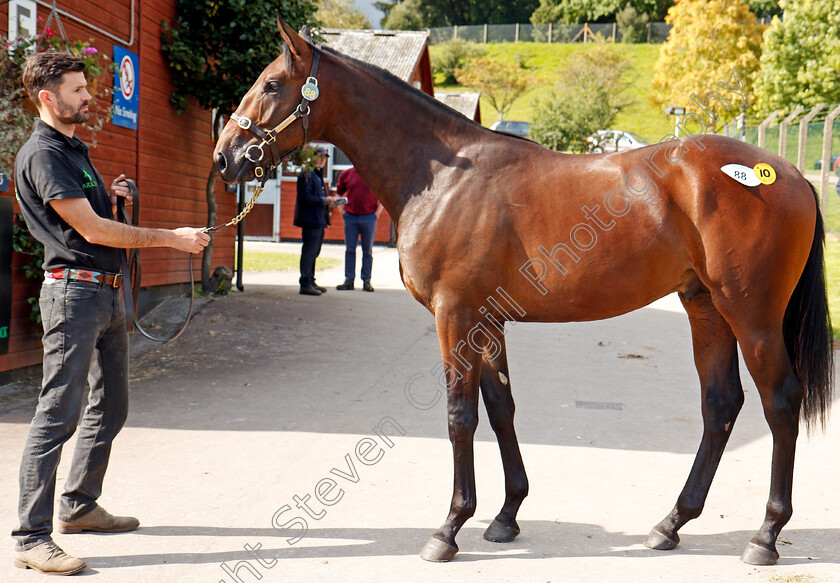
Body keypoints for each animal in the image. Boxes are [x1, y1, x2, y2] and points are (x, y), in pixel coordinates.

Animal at [212, 21, 832, 564]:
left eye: (272, 84)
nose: (225, 156)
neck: (444, 178)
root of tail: (791, 174)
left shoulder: (455, 316)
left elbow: (460, 415)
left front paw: (449, 528)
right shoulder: (487, 322)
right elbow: (501, 409)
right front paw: (505, 516)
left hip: (751, 315)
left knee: (781, 402)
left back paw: (765, 535)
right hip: (705, 308)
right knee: (720, 404)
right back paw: (671, 523)